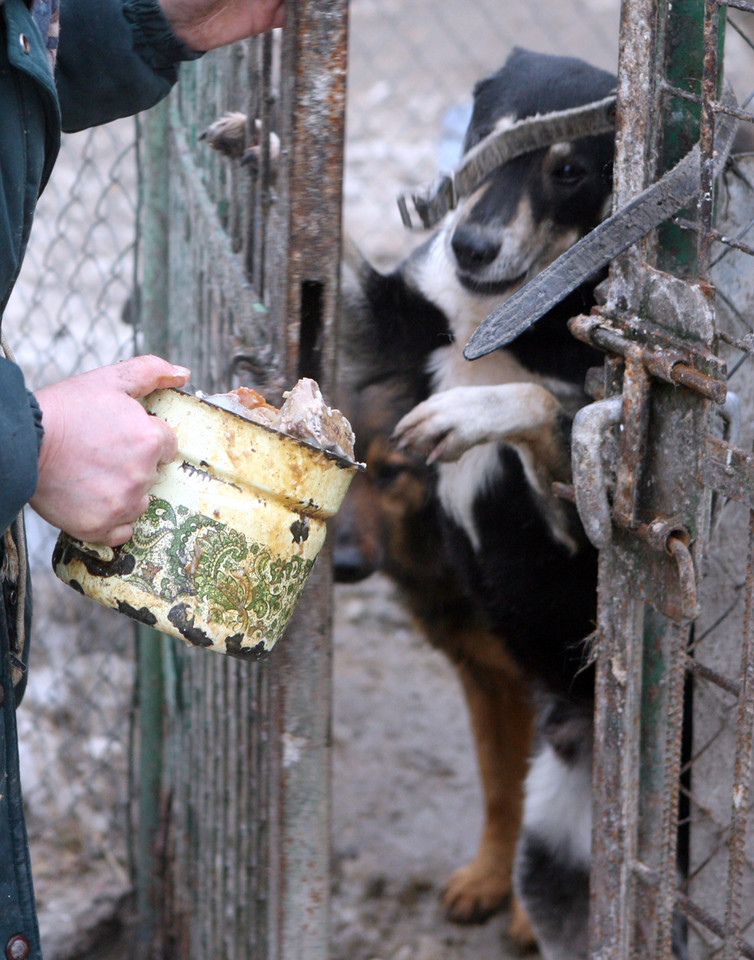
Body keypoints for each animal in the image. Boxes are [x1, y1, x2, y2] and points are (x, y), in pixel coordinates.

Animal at [336, 50, 616, 960]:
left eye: (568, 170)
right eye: (483, 139)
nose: (471, 243)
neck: (506, 318)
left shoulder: (578, 524)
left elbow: (536, 404)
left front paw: (472, 414)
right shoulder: (394, 330)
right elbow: (347, 260)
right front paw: (256, 139)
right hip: (555, 852)